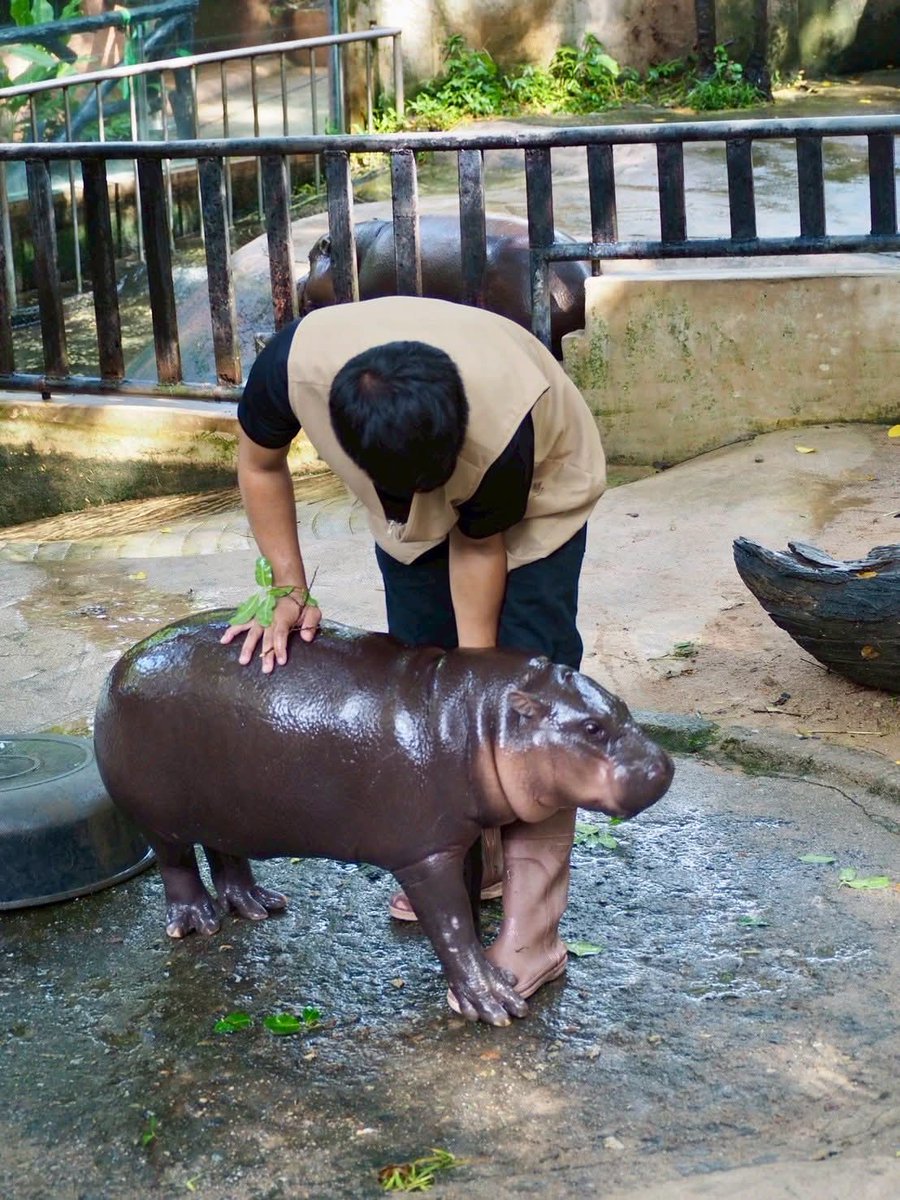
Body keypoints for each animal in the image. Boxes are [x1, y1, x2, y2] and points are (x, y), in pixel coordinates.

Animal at [93, 614, 673, 1026]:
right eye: (593, 728)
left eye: (622, 706)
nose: (662, 767)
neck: (475, 718)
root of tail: (121, 664)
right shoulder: (424, 854)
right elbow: (451, 926)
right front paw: (495, 1001)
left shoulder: (458, 839)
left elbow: (465, 903)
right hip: (158, 816)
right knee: (176, 865)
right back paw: (199, 923)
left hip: (230, 808)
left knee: (224, 851)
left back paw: (259, 907)